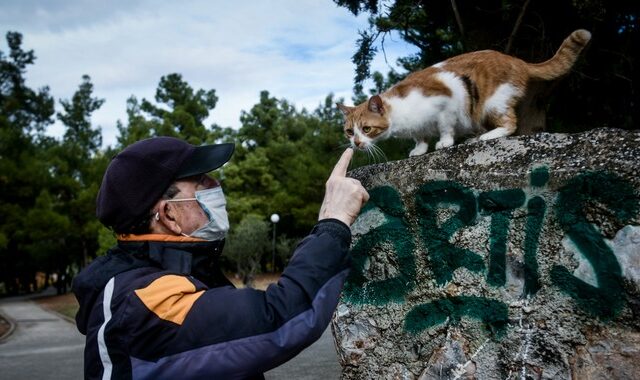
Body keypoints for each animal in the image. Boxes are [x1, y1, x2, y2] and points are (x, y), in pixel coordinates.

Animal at [338, 27, 592, 156]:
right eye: (350, 132)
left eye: (366, 129)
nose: (356, 143)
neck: (399, 116)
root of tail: (518, 61)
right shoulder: (418, 128)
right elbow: (420, 137)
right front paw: (419, 149)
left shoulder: (446, 102)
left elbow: (445, 128)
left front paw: (444, 143)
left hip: (492, 103)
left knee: (510, 123)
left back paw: (486, 136)